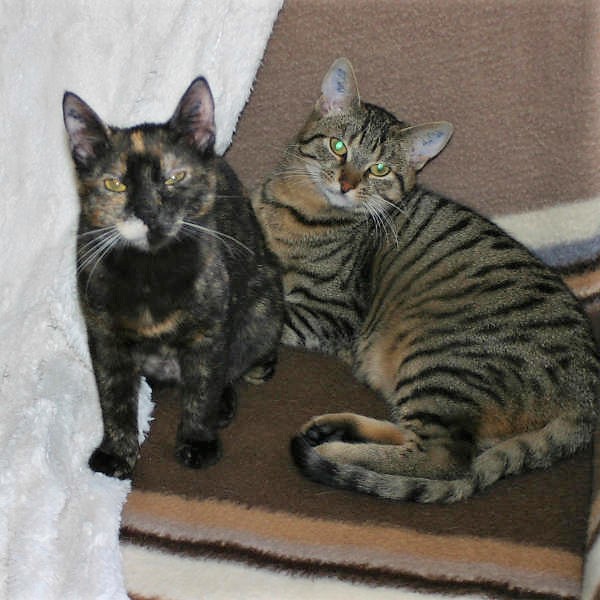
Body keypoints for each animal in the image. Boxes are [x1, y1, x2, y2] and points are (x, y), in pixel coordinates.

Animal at [63, 76, 283, 479]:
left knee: (238, 366)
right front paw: (117, 453)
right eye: (115, 185)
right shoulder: (104, 337)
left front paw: (198, 440)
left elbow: (203, 389)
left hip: (265, 307)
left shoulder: (208, 333)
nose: (148, 212)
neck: (149, 274)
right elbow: (113, 398)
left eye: (174, 177)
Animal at [251, 57, 600, 502]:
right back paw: (333, 429)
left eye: (379, 169)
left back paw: (334, 450)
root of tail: (587, 397)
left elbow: (271, 311)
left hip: (442, 366)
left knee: (442, 459)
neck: (298, 207)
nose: (346, 184)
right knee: (421, 439)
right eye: (338, 146)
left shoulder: (330, 311)